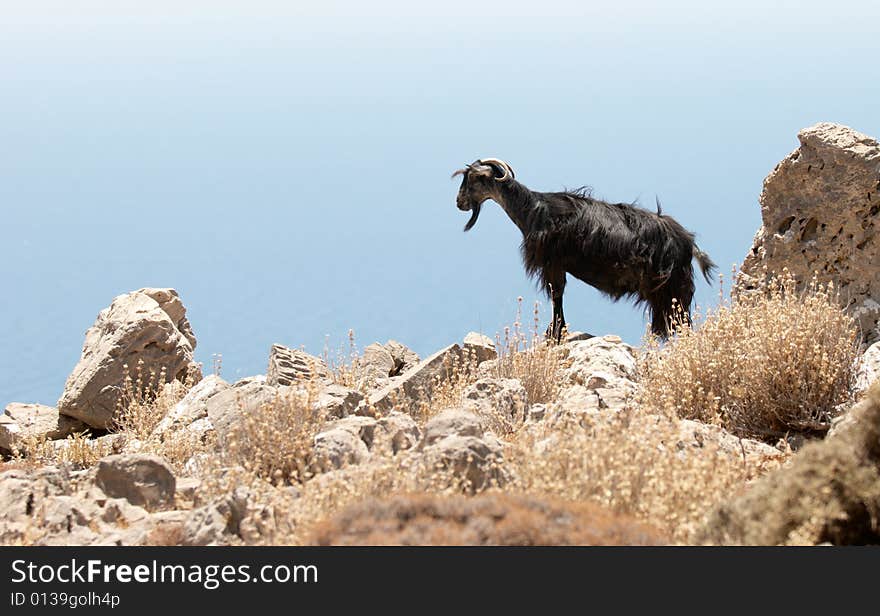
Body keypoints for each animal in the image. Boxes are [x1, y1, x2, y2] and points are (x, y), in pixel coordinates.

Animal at [454, 156, 716, 340]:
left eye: (476, 178)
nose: (459, 202)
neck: (533, 210)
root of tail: (689, 243)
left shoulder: (552, 263)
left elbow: (556, 295)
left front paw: (555, 332)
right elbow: (558, 295)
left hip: (669, 288)